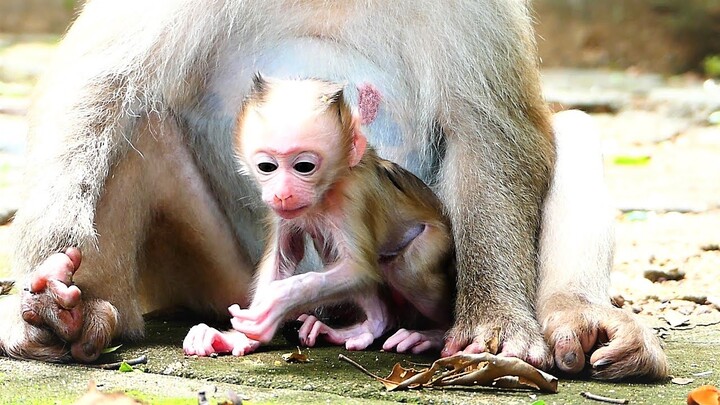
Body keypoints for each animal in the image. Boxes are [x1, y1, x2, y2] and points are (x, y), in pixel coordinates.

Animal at [183, 75, 452, 354]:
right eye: (267, 167)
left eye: (304, 166)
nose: (282, 194)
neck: (325, 193)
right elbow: (284, 256)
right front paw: (240, 336)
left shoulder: (352, 196)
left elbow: (358, 269)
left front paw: (278, 302)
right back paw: (371, 325)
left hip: (436, 239)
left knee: (407, 269)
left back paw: (434, 334)